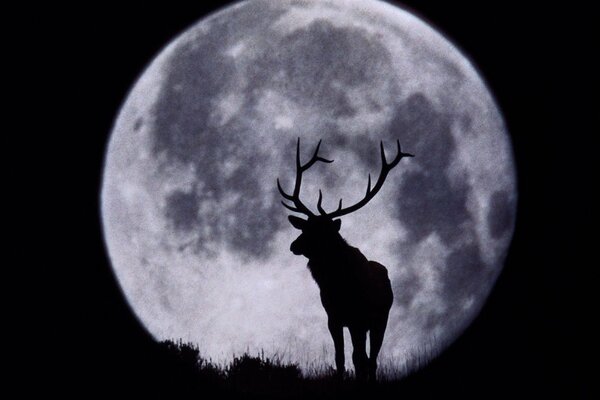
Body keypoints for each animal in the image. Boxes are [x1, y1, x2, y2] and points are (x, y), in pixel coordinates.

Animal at [276, 138, 412, 382]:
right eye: (305, 227)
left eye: (321, 232)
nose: (294, 246)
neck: (338, 284)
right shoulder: (334, 317)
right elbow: (339, 358)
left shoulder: (359, 318)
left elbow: (359, 359)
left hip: (380, 319)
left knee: (371, 359)